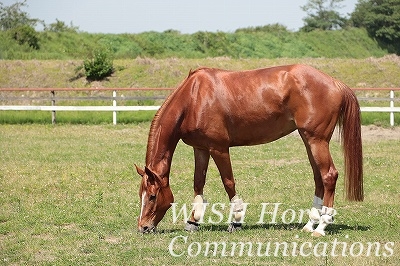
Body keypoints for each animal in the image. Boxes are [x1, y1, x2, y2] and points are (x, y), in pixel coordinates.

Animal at [134, 64, 362, 237]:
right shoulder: (201, 148)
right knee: (318, 178)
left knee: (329, 175)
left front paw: (235, 220)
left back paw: (321, 227)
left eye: (152, 196)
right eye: (141, 195)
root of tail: (335, 83)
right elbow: (198, 182)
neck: (193, 98)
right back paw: (309, 224)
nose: (143, 227)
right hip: (309, 140)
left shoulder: (219, 148)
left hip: (317, 140)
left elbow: (228, 183)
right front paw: (193, 220)